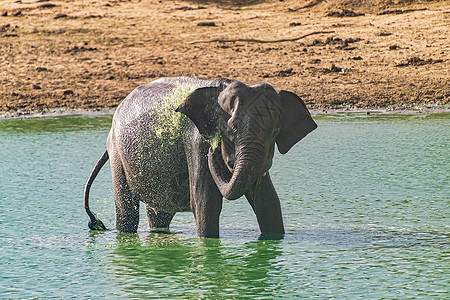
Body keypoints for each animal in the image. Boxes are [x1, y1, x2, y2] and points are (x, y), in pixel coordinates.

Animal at [84, 76, 316, 238]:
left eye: (275, 131)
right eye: (231, 128)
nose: (214, 149)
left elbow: (267, 201)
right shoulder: (194, 142)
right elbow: (205, 203)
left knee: (159, 213)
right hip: (117, 153)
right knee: (127, 211)